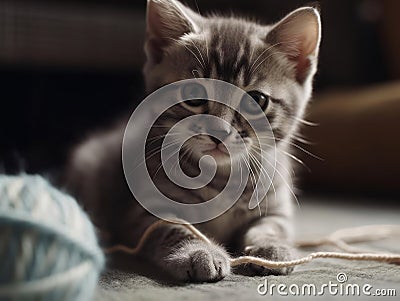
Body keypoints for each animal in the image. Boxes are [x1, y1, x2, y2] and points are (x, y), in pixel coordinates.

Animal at [65, 0, 322, 282]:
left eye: (257, 100)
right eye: (194, 94)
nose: (219, 131)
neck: (223, 178)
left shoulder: (275, 203)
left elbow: (272, 226)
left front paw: (272, 247)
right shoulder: (144, 211)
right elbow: (173, 228)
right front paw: (199, 252)